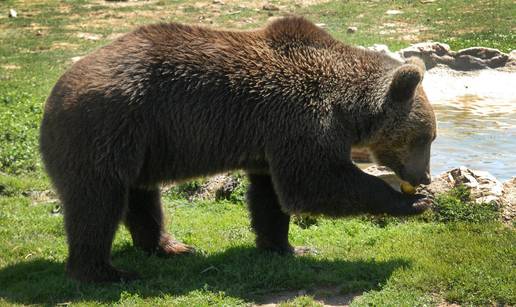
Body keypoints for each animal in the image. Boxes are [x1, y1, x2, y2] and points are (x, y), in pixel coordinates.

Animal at [39, 15, 436, 282]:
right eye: (425, 138)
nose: (426, 177)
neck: (346, 105)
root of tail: (56, 90)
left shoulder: (272, 139)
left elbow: (270, 196)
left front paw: (287, 246)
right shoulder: (302, 119)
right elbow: (315, 182)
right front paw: (411, 203)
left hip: (140, 143)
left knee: (139, 195)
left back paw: (170, 246)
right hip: (104, 127)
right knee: (97, 202)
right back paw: (104, 271)